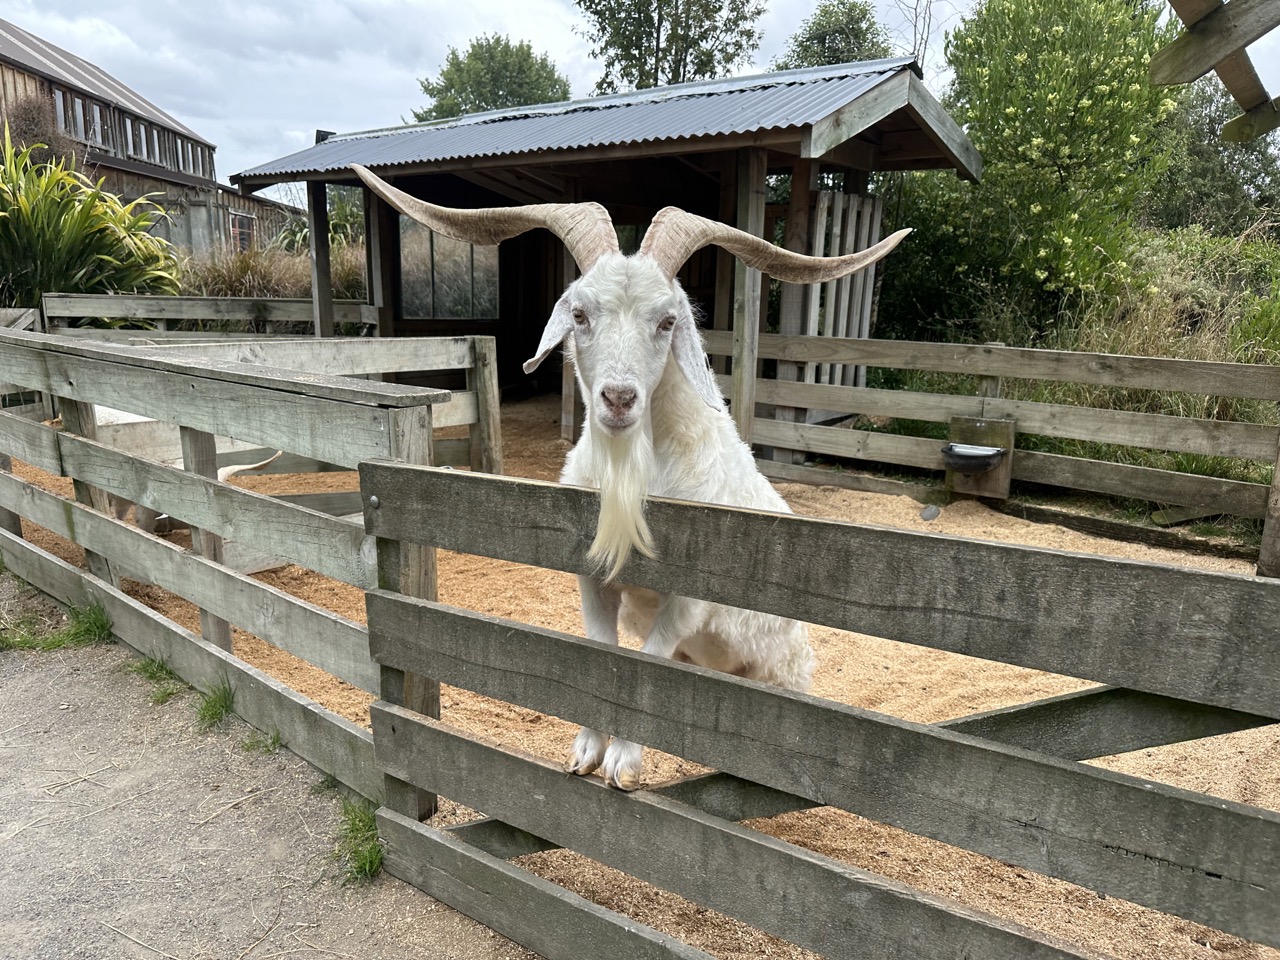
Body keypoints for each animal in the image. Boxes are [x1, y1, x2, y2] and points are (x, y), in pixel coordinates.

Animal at [350, 165, 911, 793]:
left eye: (667, 321)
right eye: (579, 314)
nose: (618, 399)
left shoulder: (692, 596)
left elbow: (648, 660)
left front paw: (624, 764)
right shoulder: (592, 578)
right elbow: (605, 653)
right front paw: (586, 751)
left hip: (782, 676)